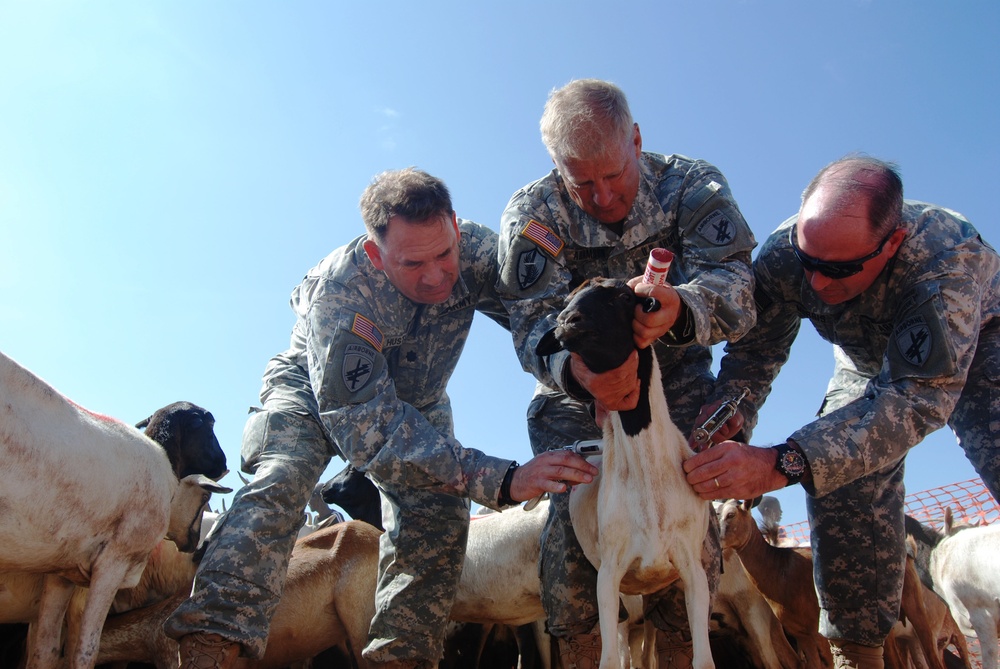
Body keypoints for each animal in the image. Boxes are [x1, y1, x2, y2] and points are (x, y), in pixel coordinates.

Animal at [0, 350, 229, 668]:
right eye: (206, 493)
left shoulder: (62, 574)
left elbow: (44, 651)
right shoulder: (112, 563)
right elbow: (85, 650)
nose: (224, 462)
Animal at [536, 276, 716, 668]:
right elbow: (608, 661)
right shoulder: (608, 575)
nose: (567, 321)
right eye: (566, 300)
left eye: (621, 296)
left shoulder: (692, 569)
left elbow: (703, 660)